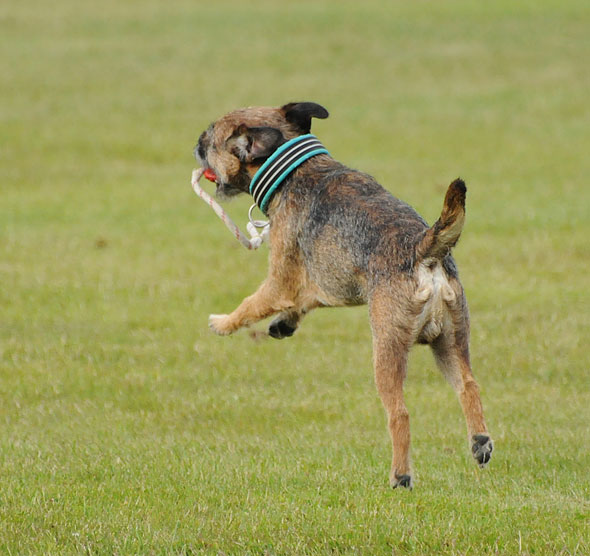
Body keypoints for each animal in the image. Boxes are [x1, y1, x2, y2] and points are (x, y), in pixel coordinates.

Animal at [194, 102, 493, 489]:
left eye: (210, 138)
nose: (196, 143)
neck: (293, 169)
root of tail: (423, 248)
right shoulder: (325, 281)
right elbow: (304, 299)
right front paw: (283, 323)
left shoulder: (280, 278)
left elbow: (253, 303)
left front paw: (223, 322)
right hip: (452, 340)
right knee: (468, 385)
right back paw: (480, 442)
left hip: (387, 347)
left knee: (400, 413)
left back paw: (401, 475)